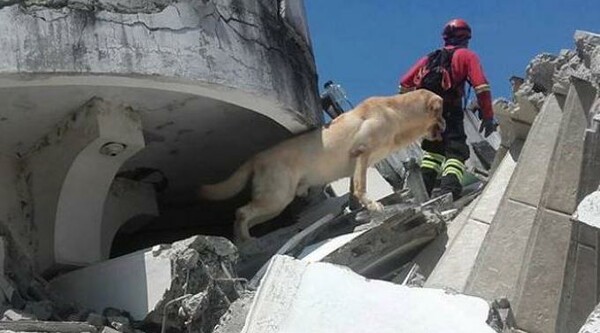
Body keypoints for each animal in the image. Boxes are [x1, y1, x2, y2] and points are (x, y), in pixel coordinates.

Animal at [199, 89, 442, 241]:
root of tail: (258, 156)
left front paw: (356, 208)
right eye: (443, 114)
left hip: (274, 204)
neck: (398, 113)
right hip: (277, 198)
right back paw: (246, 240)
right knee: (241, 211)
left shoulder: (358, 164)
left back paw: (240, 239)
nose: (447, 125)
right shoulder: (362, 153)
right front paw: (372, 205)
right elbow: (361, 186)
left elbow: (354, 188)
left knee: (244, 216)